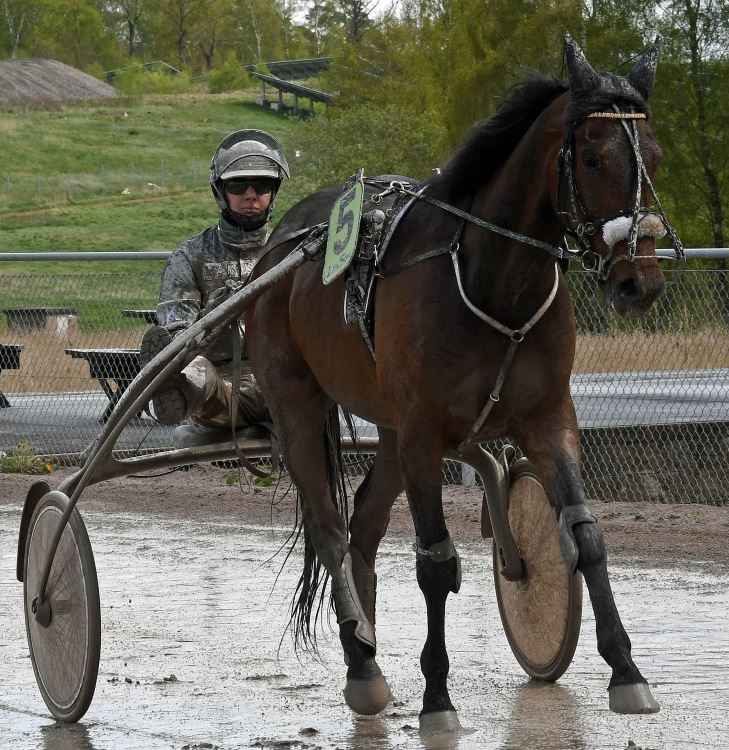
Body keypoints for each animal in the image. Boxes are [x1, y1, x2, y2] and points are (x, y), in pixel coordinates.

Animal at [245, 34, 681, 732]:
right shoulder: (425, 431)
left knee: (364, 526)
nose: (637, 280)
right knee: (331, 529)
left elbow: (584, 535)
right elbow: (437, 564)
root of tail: (282, 246)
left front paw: (627, 671)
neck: (492, 281)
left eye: (657, 158)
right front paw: (438, 698)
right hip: (299, 405)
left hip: (388, 425)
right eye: (591, 156)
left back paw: (364, 651)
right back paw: (363, 667)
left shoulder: (546, 417)